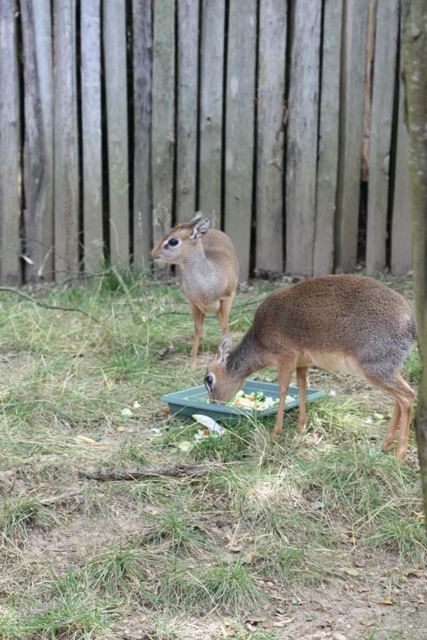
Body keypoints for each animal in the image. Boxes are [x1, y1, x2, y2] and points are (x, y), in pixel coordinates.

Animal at [151, 211, 239, 368]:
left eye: (173, 241)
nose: (153, 253)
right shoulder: (193, 303)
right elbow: (197, 329)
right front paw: (192, 365)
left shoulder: (227, 299)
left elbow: (225, 328)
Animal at [205, 276, 418, 460]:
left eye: (209, 379)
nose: (213, 403)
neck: (260, 340)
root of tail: (412, 325)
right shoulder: (303, 362)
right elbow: (302, 386)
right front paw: (301, 425)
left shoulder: (286, 357)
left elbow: (283, 389)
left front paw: (275, 432)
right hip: (387, 367)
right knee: (400, 397)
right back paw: (385, 444)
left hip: (373, 367)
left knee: (408, 395)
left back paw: (399, 454)